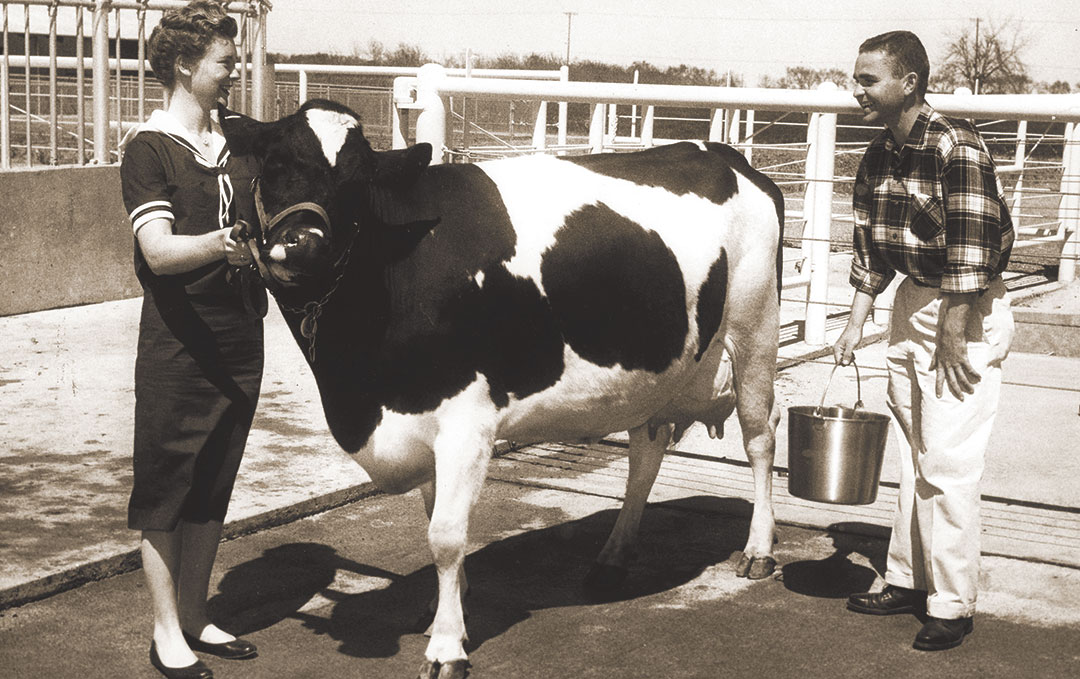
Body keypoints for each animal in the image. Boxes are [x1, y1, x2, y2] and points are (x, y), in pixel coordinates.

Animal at [221, 100, 786, 677]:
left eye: (356, 182)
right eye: (272, 167)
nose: (302, 244)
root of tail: (727, 157)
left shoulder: (466, 419)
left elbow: (446, 534)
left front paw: (447, 644)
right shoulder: (423, 420)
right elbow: (433, 517)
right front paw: (446, 606)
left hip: (756, 329)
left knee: (760, 436)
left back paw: (758, 550)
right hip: (662, 372)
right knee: (647, 452)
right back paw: (612, 558)